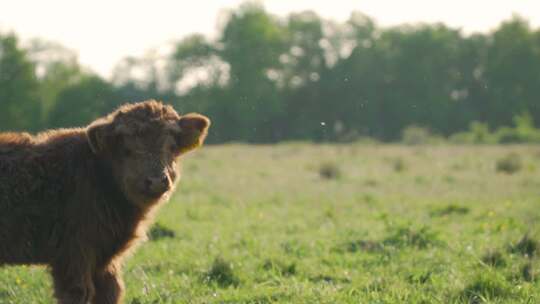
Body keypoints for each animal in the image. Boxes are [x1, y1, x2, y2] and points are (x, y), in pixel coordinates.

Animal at [0, 100, 210, 304]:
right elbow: (78, 293)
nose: (157, 180)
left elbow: (112, 292)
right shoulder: (72, 256)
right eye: (127, 150)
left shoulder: (105, 261)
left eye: (172, 147)